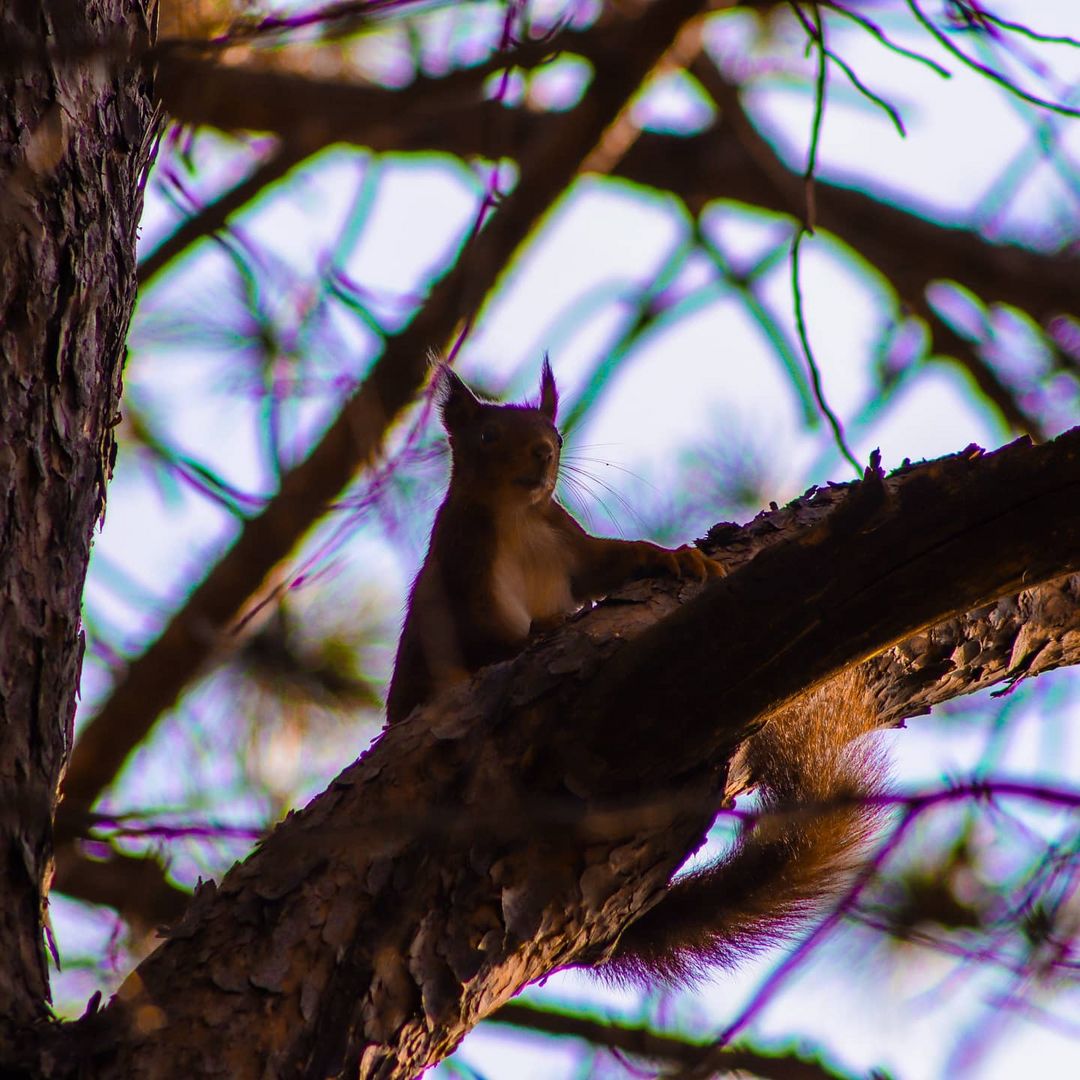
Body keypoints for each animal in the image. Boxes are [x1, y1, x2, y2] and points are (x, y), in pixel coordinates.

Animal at [384, 360, 881, 989]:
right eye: (487, 436)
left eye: (556, 435)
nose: (542, 453)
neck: (517, 519)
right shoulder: (462, 576)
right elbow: (489, 640)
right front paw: (543, 628)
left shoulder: (569, 548)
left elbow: (611, 562)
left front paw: (673, 558)